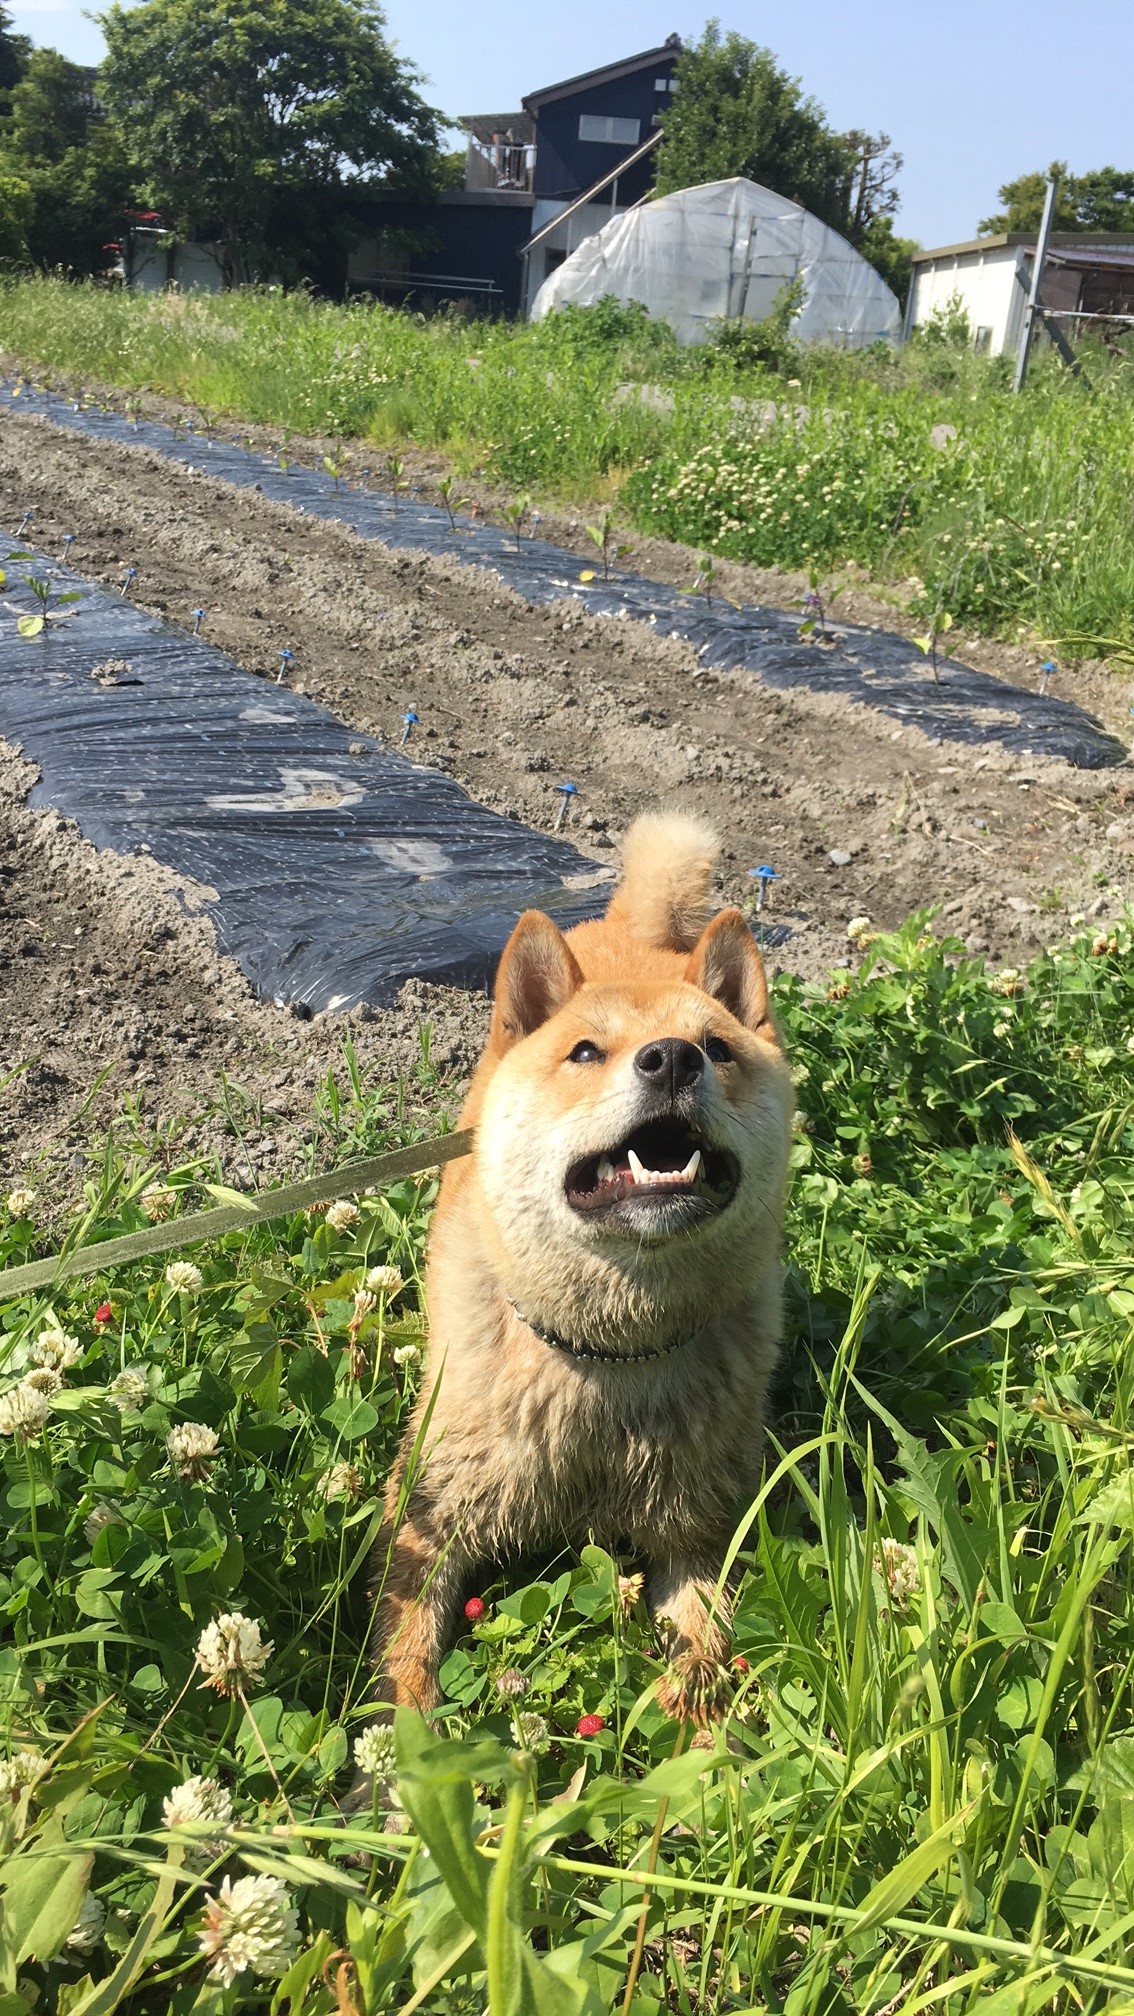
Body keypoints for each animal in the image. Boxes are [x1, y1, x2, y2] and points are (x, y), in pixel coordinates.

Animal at [367, 810, 790, 1725]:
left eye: (717, 1048)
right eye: (587, 1053)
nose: (672, 1058)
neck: (607, 1359)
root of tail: (630, 933)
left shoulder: (697, 1535)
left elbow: (704, 1651)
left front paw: (695, 1744)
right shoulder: (427, 1519)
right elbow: (406, 1663)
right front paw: (405, 1755)